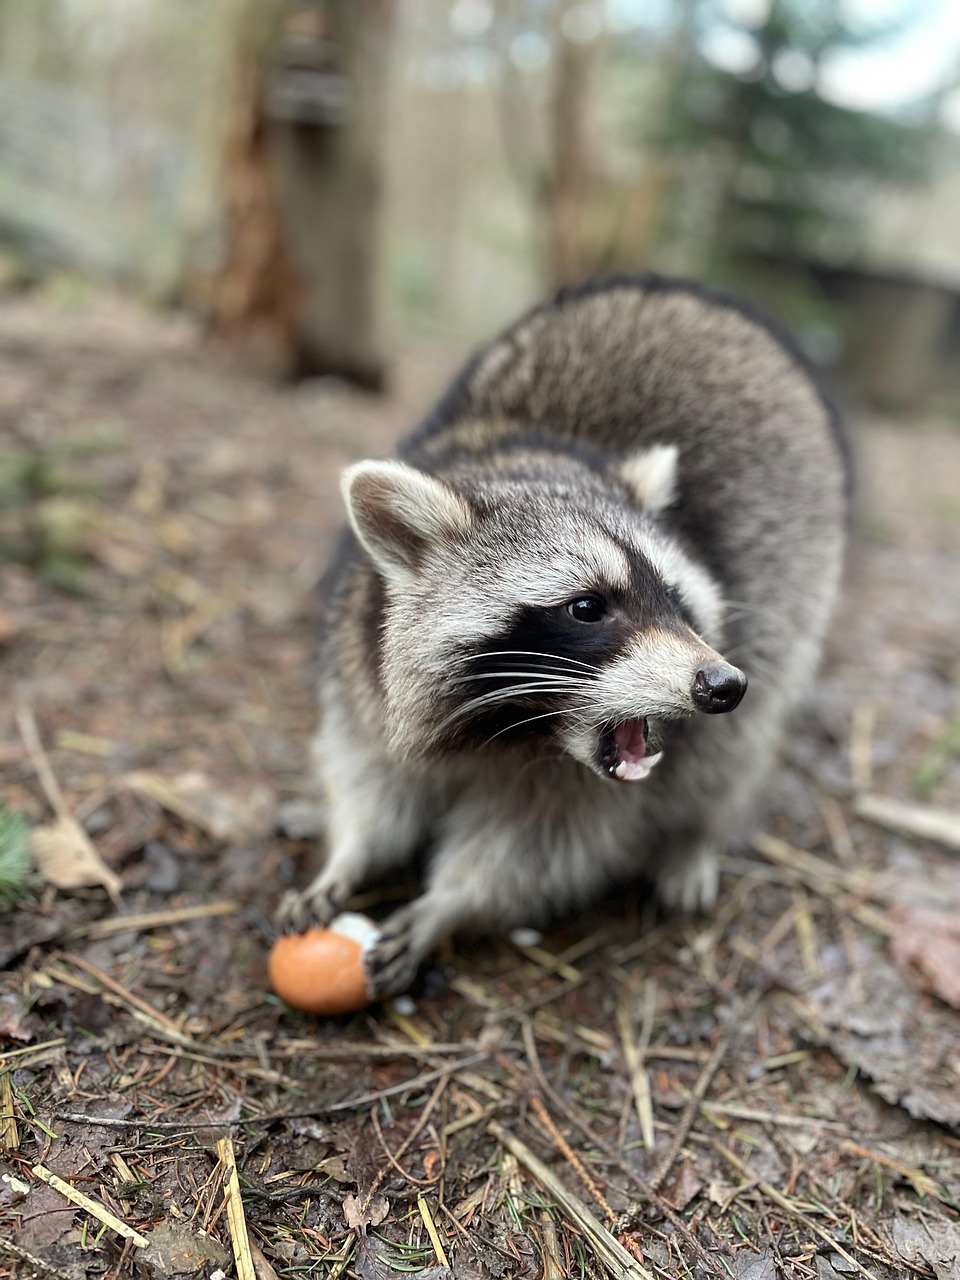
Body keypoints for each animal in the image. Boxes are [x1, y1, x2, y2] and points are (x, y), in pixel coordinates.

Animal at [278, 274, 848, 1000]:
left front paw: (449, 904)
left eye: (676, 601)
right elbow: (372, 771)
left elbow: (542, 847)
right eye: (587, 608)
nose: (721, 685)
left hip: (795, 590)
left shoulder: (593, 790)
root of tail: (691, 293)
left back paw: (695, 836)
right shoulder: (359, 662)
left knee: (734, 744)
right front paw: (349, 850)